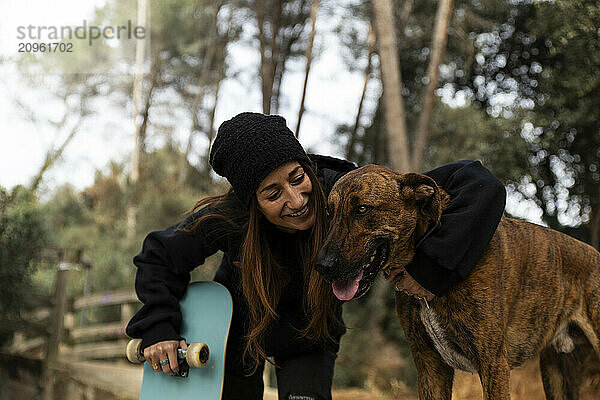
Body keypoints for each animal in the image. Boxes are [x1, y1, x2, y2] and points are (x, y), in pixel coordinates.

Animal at [314, 165, 600, 400]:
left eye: (363, 209)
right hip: (556, 375)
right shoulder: (429, 365)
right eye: (329, 212)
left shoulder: (493, 364)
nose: (321, 266)